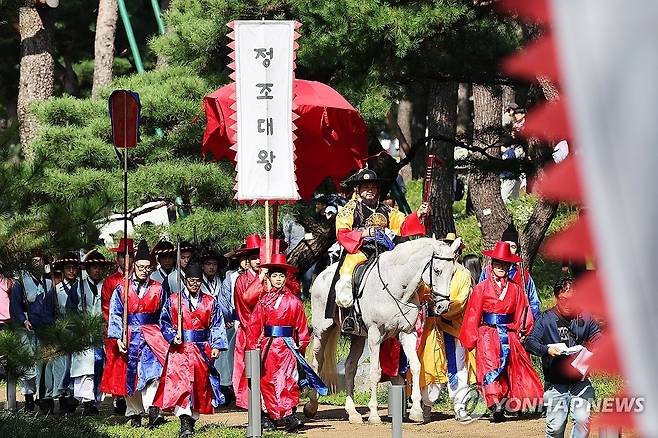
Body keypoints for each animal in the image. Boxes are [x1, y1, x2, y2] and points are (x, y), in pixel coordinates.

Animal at [304, 238, 462, 422]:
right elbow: (375, 372)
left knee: (350, 367)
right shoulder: (375, 334)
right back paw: (312, 405)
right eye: (437, 271)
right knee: (317, 362)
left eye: (453, 273)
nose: (443, 307)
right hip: (322, 330)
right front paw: (373, 414)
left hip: (358, 337)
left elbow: (416, 366)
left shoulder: (407, 333)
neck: (397, 286)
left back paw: (353, 413)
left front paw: (416, 411)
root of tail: (321, 275)